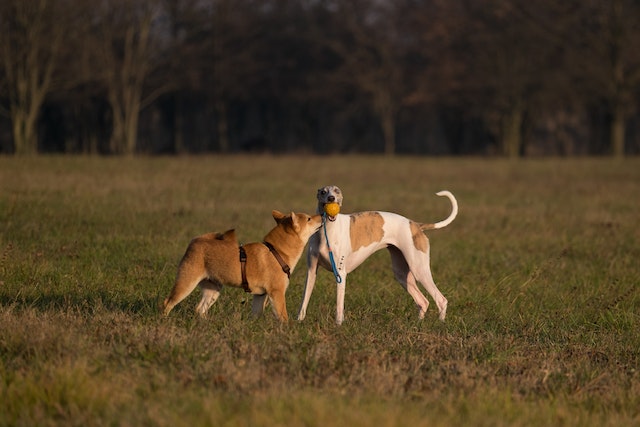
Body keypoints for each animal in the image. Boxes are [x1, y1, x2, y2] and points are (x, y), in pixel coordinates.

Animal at [160, 211, 320, 320]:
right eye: (309, 219)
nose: (321, 215)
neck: (277, 251)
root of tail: (196, 240)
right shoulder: (277, 293)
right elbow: (283, 317)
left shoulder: (260, 295)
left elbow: (255, 315)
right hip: (187, 282)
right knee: (167, 302)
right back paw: (164, 320)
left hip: (212, 290)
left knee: (199, 309)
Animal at [298, 186, 458, 326]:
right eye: (323, 192)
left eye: (337, 191)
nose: (331, 198)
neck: (327, 230)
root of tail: (416, 225)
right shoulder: (311, 271)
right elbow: (304, 299)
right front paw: (299, 321)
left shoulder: (340, 274)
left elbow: (339, 305)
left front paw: (338, 325)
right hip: (402, 273)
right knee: (423, 301)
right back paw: (417, 324)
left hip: (419, 269)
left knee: (441, 299)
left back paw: (440, 324)